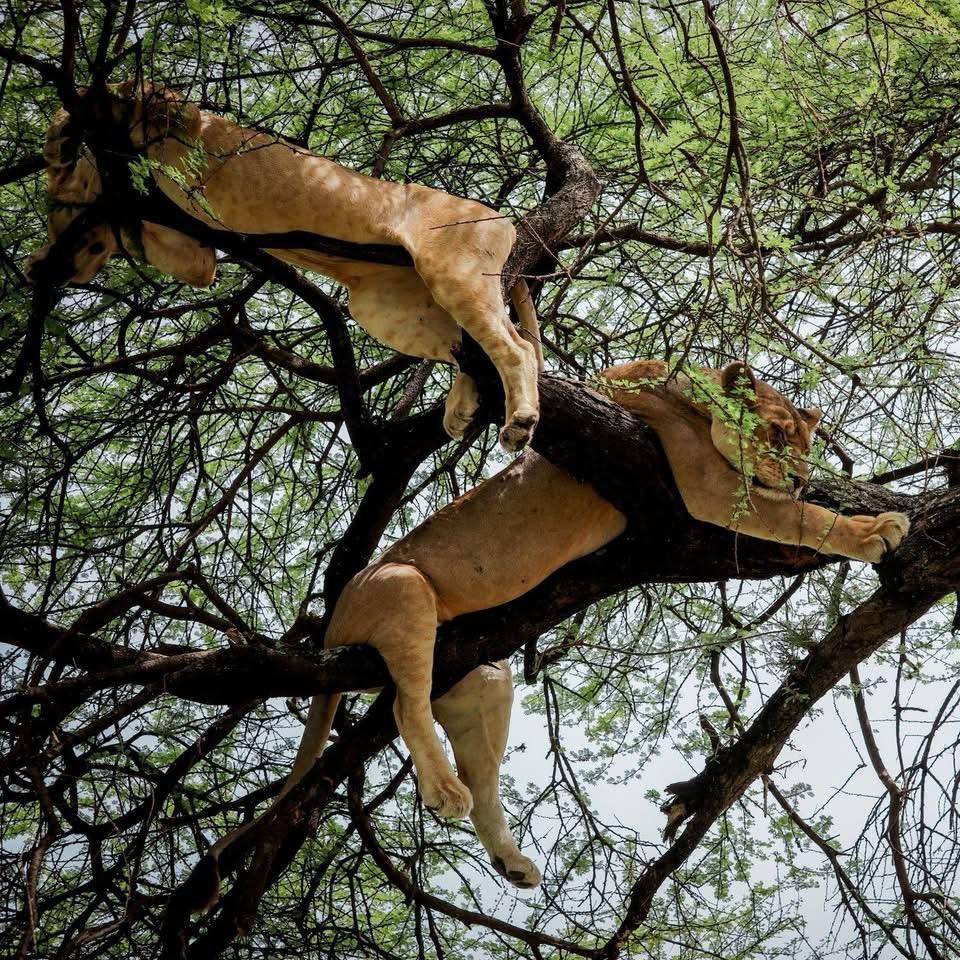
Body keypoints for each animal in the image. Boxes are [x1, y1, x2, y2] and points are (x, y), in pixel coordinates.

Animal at [29, 81, 543, 450]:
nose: (50, 269)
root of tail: (505, 215)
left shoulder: (184, 116)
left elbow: (118, 88)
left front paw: (60, 139)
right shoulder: (195, 255)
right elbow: (169, 250)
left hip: (453, 271)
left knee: (516, 347)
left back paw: (519, 422)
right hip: (386, 308)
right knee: (470, 349)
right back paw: (461, 407)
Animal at [195, 360, 909, 903]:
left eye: (806, 444)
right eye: (775, 433)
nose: (799, 473)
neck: (688, 396)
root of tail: (334, 616)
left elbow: (796, 516)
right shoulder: (705, 486)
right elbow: (801, 520)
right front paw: (874, 530)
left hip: (482, 676)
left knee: (479, 773)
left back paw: (509, 860)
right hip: (402, 586)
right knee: (404, 705)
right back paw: (442, 790)